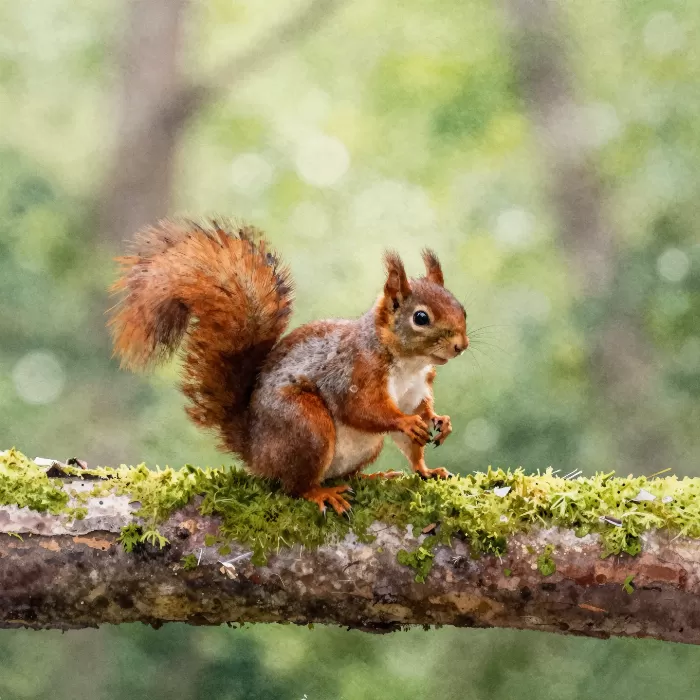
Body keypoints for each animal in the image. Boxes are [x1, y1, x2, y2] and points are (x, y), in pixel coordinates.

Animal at [109, 218, 468, 514]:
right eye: (420, 318)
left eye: (461, 308)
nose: (460, 346)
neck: (408, 364)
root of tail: (254, 449)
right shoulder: (354, 370)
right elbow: (363, 409)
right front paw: (405, 422)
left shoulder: (415, 390)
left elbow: (417, 429)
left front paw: (437, 430)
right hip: (306, 426)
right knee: (295, 486)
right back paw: (322, 493)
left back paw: (374, 475)